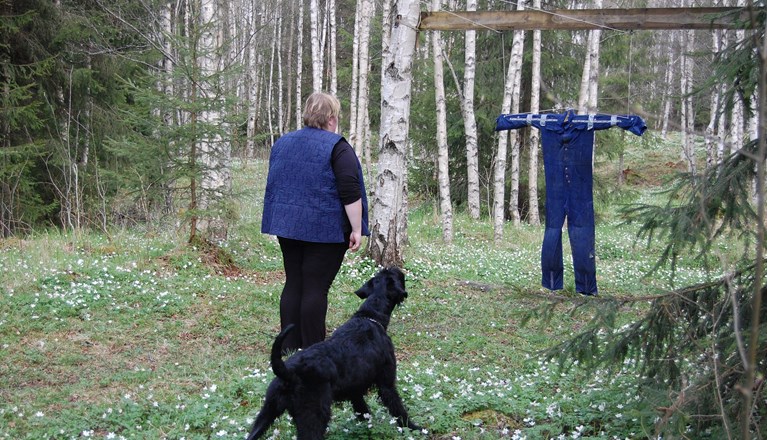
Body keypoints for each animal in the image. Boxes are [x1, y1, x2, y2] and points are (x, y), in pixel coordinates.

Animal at [246, 266, 422, 440]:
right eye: (396, 276)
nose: (396, 268)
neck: (370, 316)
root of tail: (288, 372)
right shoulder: (386, 383)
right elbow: (398, 409)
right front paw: (414, 428)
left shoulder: (355, 390)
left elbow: (363, 411)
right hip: (314, 416)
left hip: (267, 412)